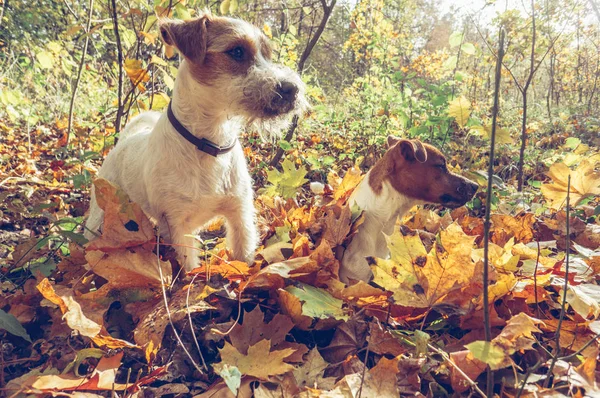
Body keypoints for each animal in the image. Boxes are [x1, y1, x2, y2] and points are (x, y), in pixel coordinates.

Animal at [84, 14, 308, 272]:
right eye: (237, 51)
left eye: (268, 54)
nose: (292, 89)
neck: (210, 145)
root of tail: (126, 138)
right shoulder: (177, 224)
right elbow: (189, 266)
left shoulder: (240, 213)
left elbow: (244, 254)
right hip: (99, 212)